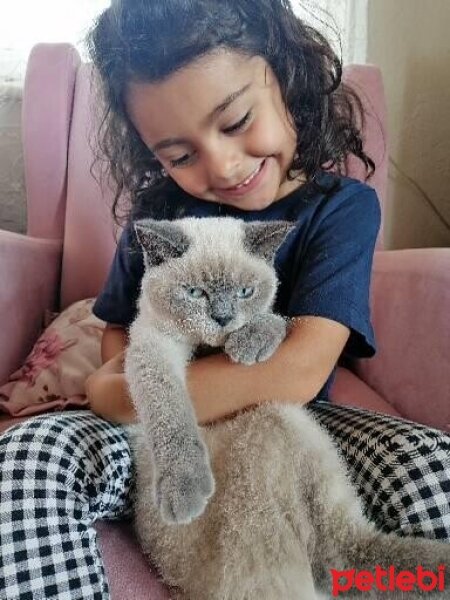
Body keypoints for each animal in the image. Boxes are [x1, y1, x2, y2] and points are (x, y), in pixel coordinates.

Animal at [124, 217, 450, 600]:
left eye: (245, 292)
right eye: (195, 294)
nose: (223, 318)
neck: (208, 348)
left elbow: (281, 319)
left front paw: (250, 341)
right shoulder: (152, 348)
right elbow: (170, 410)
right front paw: (185, 490)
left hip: (297, 427)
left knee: (345, 548)